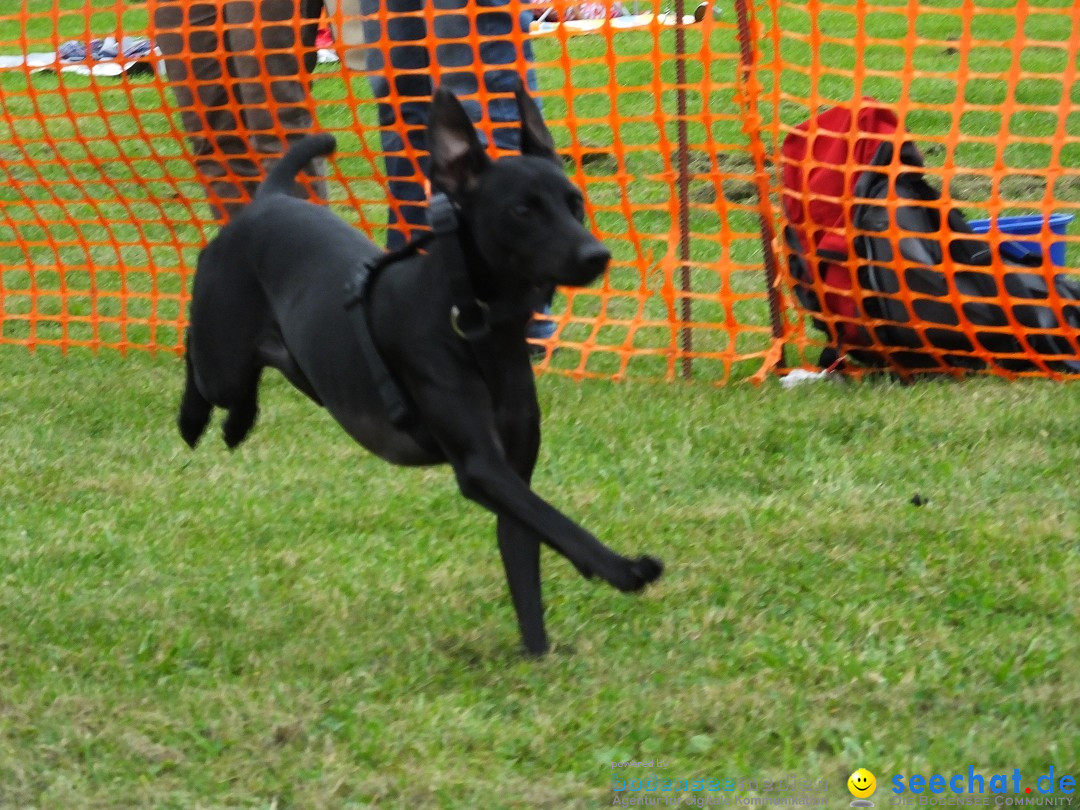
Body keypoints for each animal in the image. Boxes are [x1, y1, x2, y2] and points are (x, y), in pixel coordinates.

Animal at [179, 82, 656, 656]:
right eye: (523, 209)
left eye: (575, 202)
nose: (596, 255)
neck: (473, 322)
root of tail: (269, 199)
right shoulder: (482, 467)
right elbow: (562, 525)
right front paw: (625, 568)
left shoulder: (513, 475)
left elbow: (530, 556)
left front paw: (538, 656)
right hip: (220, 356)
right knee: (200, 364)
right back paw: (195, 420)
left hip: (300, 362)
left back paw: (238, 423)